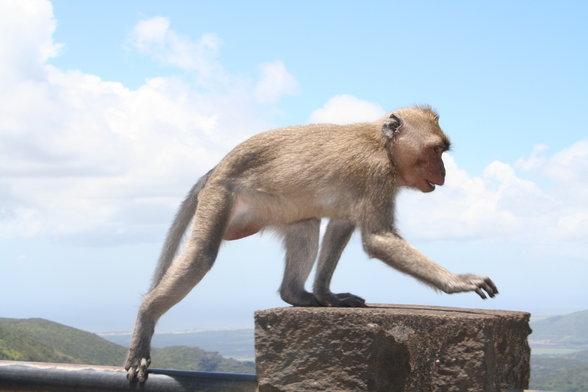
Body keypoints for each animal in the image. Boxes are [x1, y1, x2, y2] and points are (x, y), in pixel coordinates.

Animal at [124, 105, 496, 382]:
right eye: (436, 150)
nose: (444, 172)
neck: (381, 146)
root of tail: (215, 169)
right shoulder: (376, 174)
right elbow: (378, 239)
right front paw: (460, 281)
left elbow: (341, 225)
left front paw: (327, 296)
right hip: (222, 197)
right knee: (202, 254)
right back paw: (146, 316)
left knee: (306, 225)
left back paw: (297, 294)